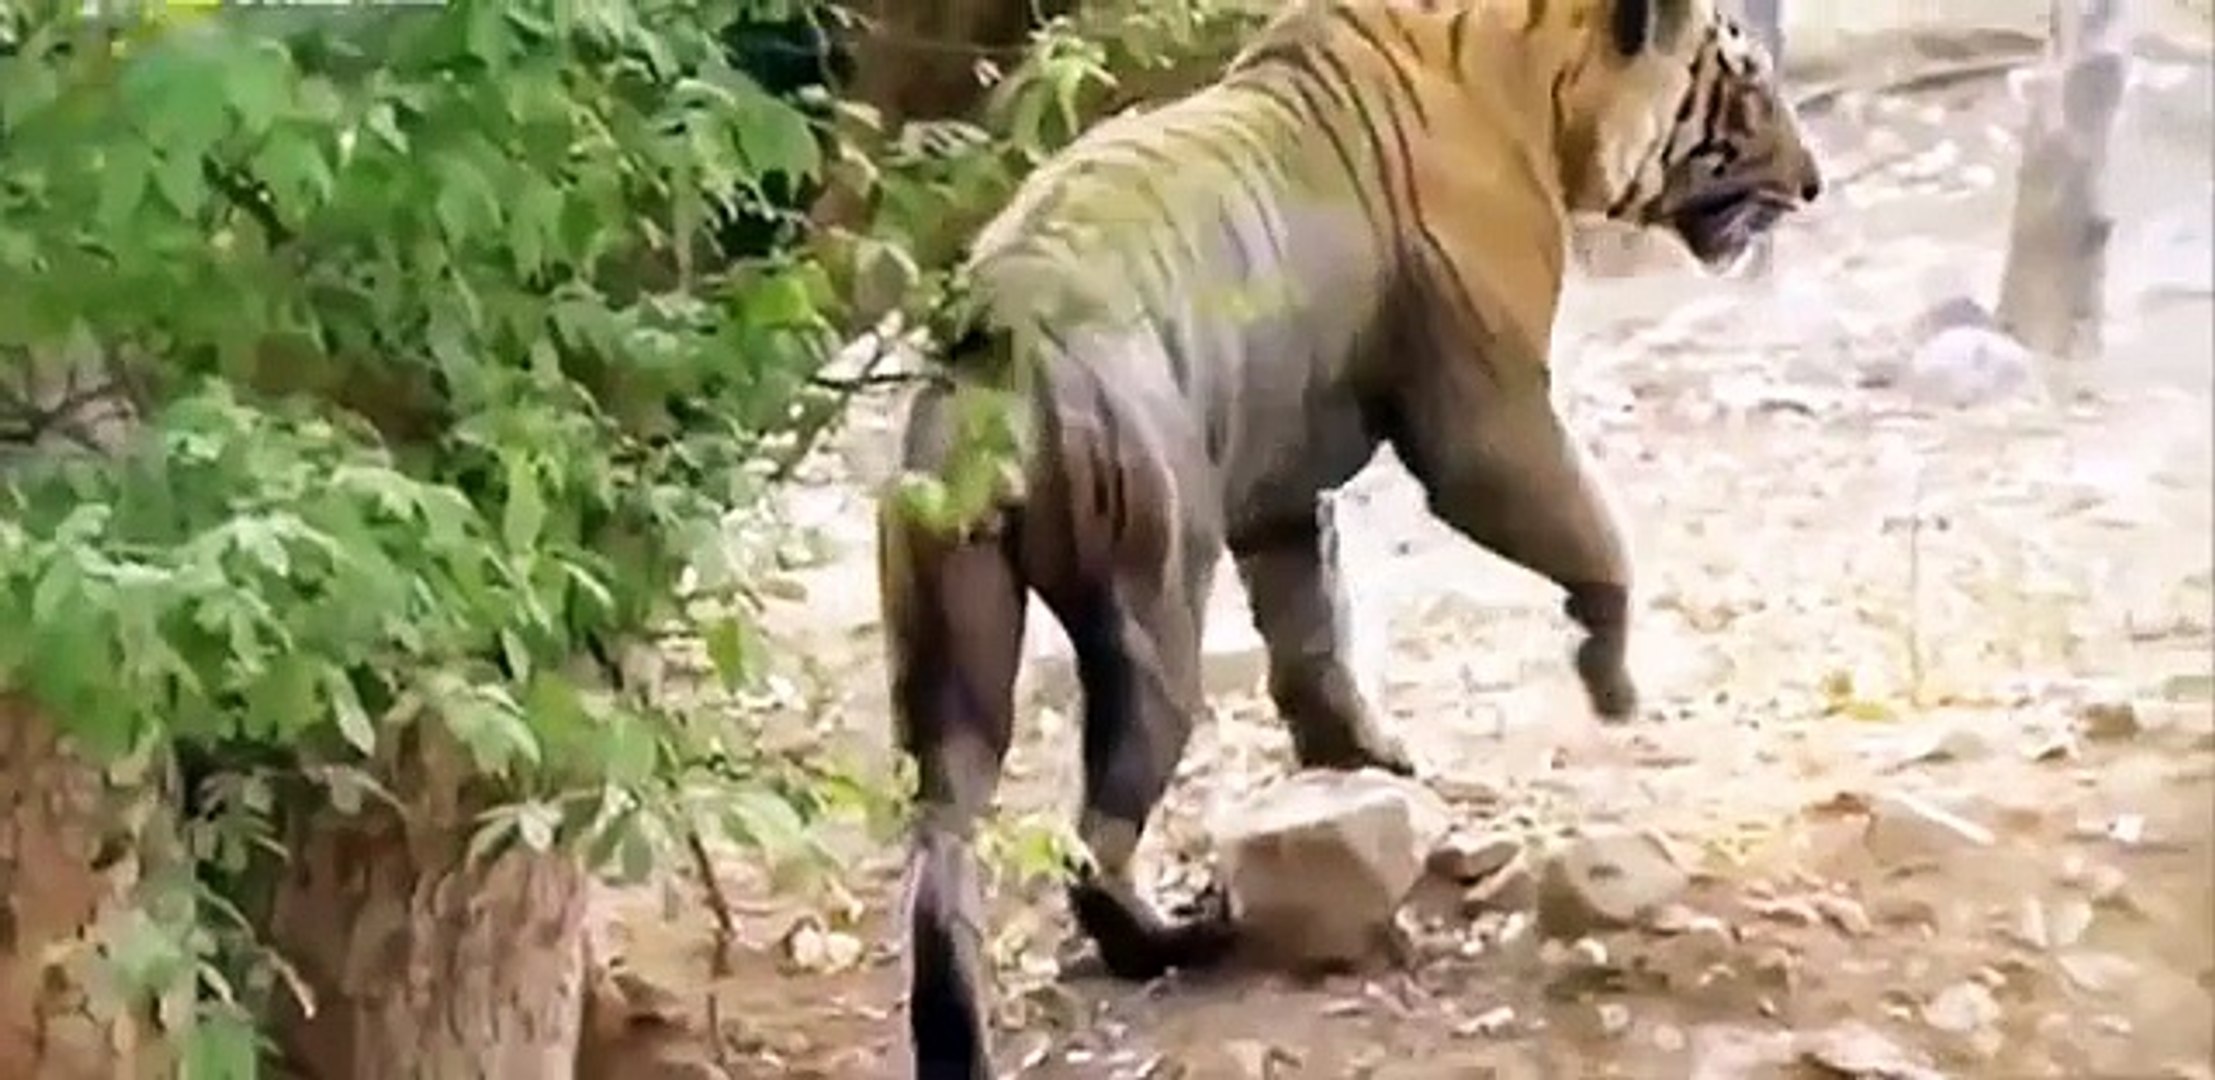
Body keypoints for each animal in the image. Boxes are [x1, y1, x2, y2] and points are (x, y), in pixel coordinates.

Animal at [876, 1, 1823, 1075]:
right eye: (1746, 84)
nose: (1811, 182)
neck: (1536, 84)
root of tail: (996, 325)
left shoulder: (1278, 490)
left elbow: (1310, 625)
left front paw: (1359, 761)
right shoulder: (1486, 414)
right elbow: (1590, 530)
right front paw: (1612, 677)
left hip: (949, 633)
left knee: (943, 840)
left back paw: (954, 1029)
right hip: (1148, 605)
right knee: (1095, 829)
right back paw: (1171, 942)